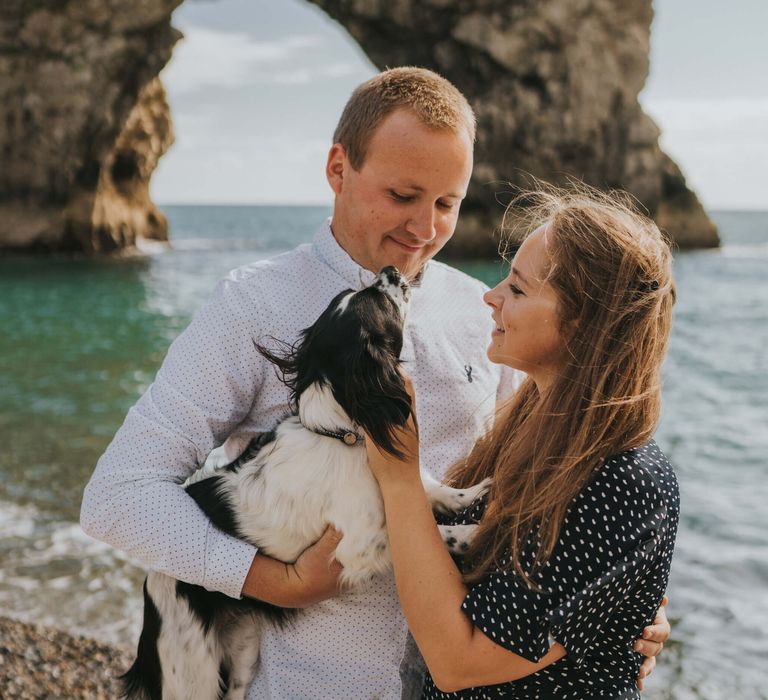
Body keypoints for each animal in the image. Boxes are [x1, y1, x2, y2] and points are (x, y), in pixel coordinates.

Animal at [123, 266, 488, 700]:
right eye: (380, 301)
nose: (391, 271)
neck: (342, 436)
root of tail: (150, 585)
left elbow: (431, 490)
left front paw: (473, 493)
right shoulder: (359, 545)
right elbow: (430, 532)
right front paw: (473, 533)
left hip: (243, 648)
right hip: (194, 671)